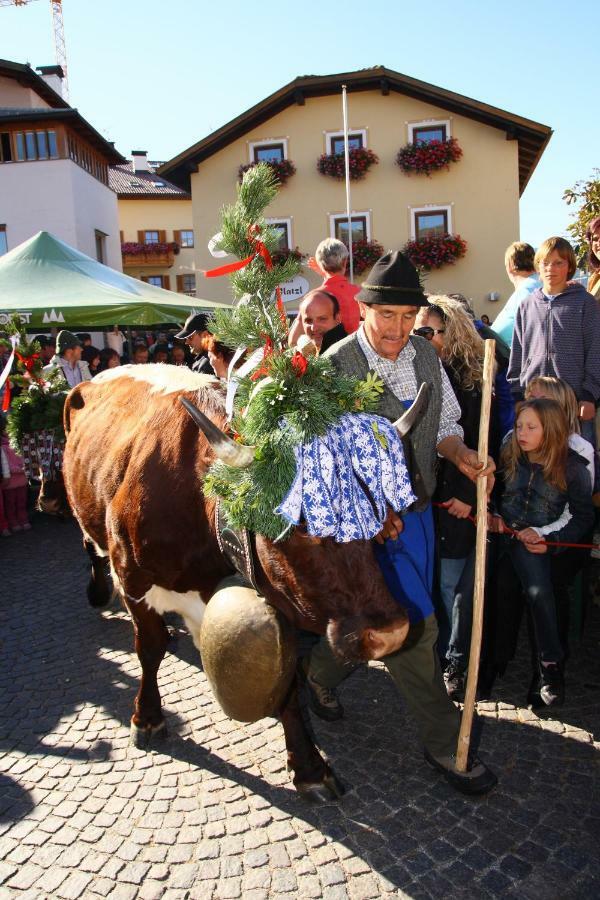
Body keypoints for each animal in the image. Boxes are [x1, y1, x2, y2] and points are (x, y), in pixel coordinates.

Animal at [63, 366, 412, 800]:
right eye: (302, 526)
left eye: (377, 512)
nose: (391, 633)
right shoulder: (132, 578)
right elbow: (149, 648)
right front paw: (146, 718)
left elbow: (287, 686)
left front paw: (309, 767)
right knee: (87, 544)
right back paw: (98, 592)